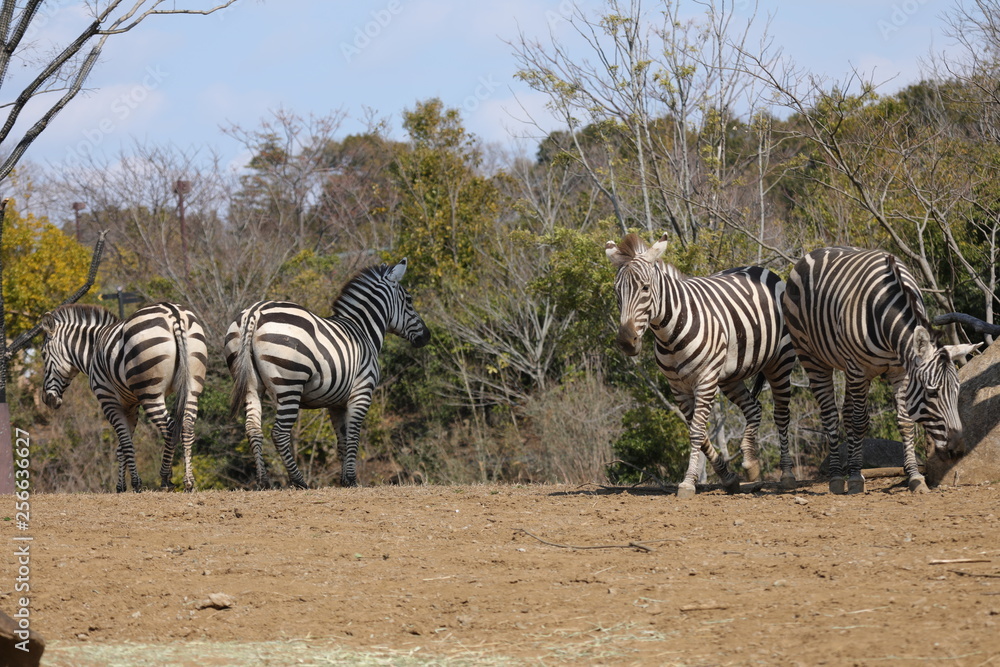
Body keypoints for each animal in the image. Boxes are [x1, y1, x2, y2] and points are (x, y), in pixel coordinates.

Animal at [39, 302, 208, 492]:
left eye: (43, 354)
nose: (46, 399)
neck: (93, 350)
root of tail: (173, 313)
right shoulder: (131, 405)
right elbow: (122, 447)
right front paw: (121, 486)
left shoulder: (108, 401)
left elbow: (126, 444)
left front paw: (136, 483)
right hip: (192, 386)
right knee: (187, 427)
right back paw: (189, 481)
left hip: (151, 394)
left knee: (170, 428)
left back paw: (165, 478)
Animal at [225, 258, 430, 489]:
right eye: (410, 300)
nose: (427, 336)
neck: (363, 331)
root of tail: (254, 312)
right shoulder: (362, 393)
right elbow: (353, 436)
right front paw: (352, 480)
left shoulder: (336, 403)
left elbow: (342, 440)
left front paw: (344, 480)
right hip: (289, 384)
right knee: (279, 433)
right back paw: (299, 482)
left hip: (250, 384)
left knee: (253, 429)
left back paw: (263, 482)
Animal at [605, 233, 798, 498]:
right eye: (617, 292)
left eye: (645, 288)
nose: (626, 341)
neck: (669, 334)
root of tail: (761, 270)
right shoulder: (678, 387)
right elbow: (701, 432)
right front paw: (728, 478)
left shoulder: (705, 380)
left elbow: (697, 431)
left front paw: (688, 482)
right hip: (730, 376)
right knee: (754, 407)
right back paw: (751, 465)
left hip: (780, 362)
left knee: (781, 415)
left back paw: (787, 474)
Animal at [782, 247, 980, 495]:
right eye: (932, 392)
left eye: (957, 391)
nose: (958, 451)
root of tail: (813, 253)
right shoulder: (859, 368)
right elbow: (860, 422)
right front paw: (854, 479)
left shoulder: (901, 372)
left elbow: (905, 421)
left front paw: (915, 477)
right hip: (813, 358)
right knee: (830, 415)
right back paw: (837, 477)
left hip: (848, 369)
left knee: (846, 413)